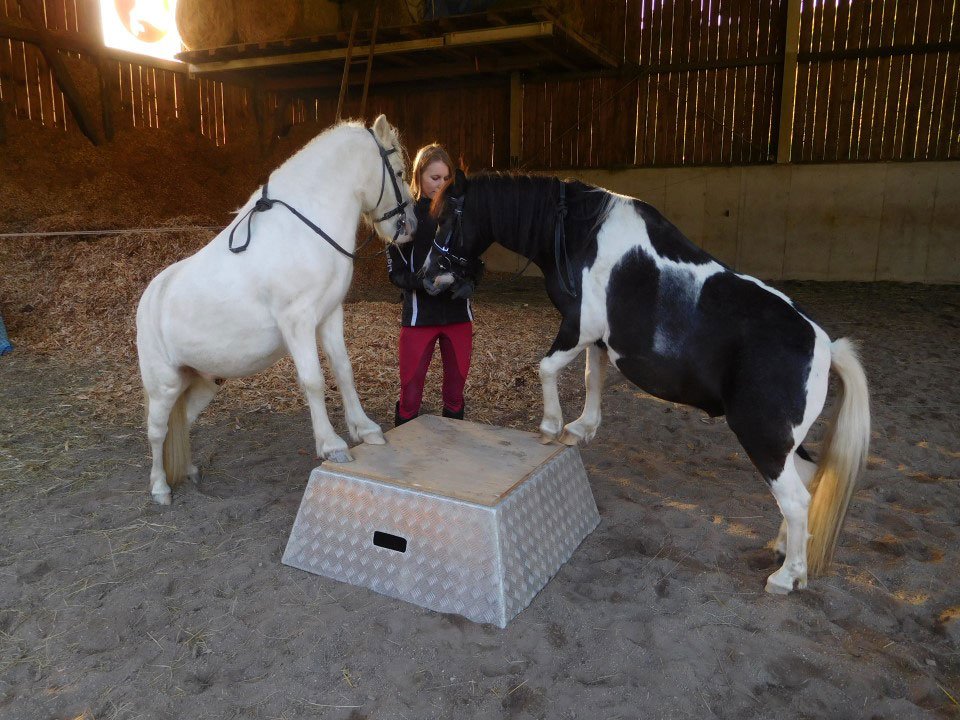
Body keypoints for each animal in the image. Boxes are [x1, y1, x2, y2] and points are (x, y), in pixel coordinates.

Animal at [136, 115, 416, 504]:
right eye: (400, 172)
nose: (409, 228)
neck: (304, 228)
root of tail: (149, 298)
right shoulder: (297, 320)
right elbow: (313, 380)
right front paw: (332, 445)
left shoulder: (330, 315)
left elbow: (343, 371)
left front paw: (365, 429)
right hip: (163, 385)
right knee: (157, 432)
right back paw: (160, 487)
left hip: (202, 382)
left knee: (185, 421)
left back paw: (189, 470)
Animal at [424, 170, 872, 596]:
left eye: (445, 219)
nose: (428, 277)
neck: (581, 235)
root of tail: (825, 346)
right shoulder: (597, 339)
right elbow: (592, 377)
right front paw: (581, 429)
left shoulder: (580, 326)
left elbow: (547, 368)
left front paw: (552, 425)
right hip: (782, 442)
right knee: (807, 481)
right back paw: (781, 550)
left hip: (762, 439)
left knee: (796, 500)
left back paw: (787, 577)